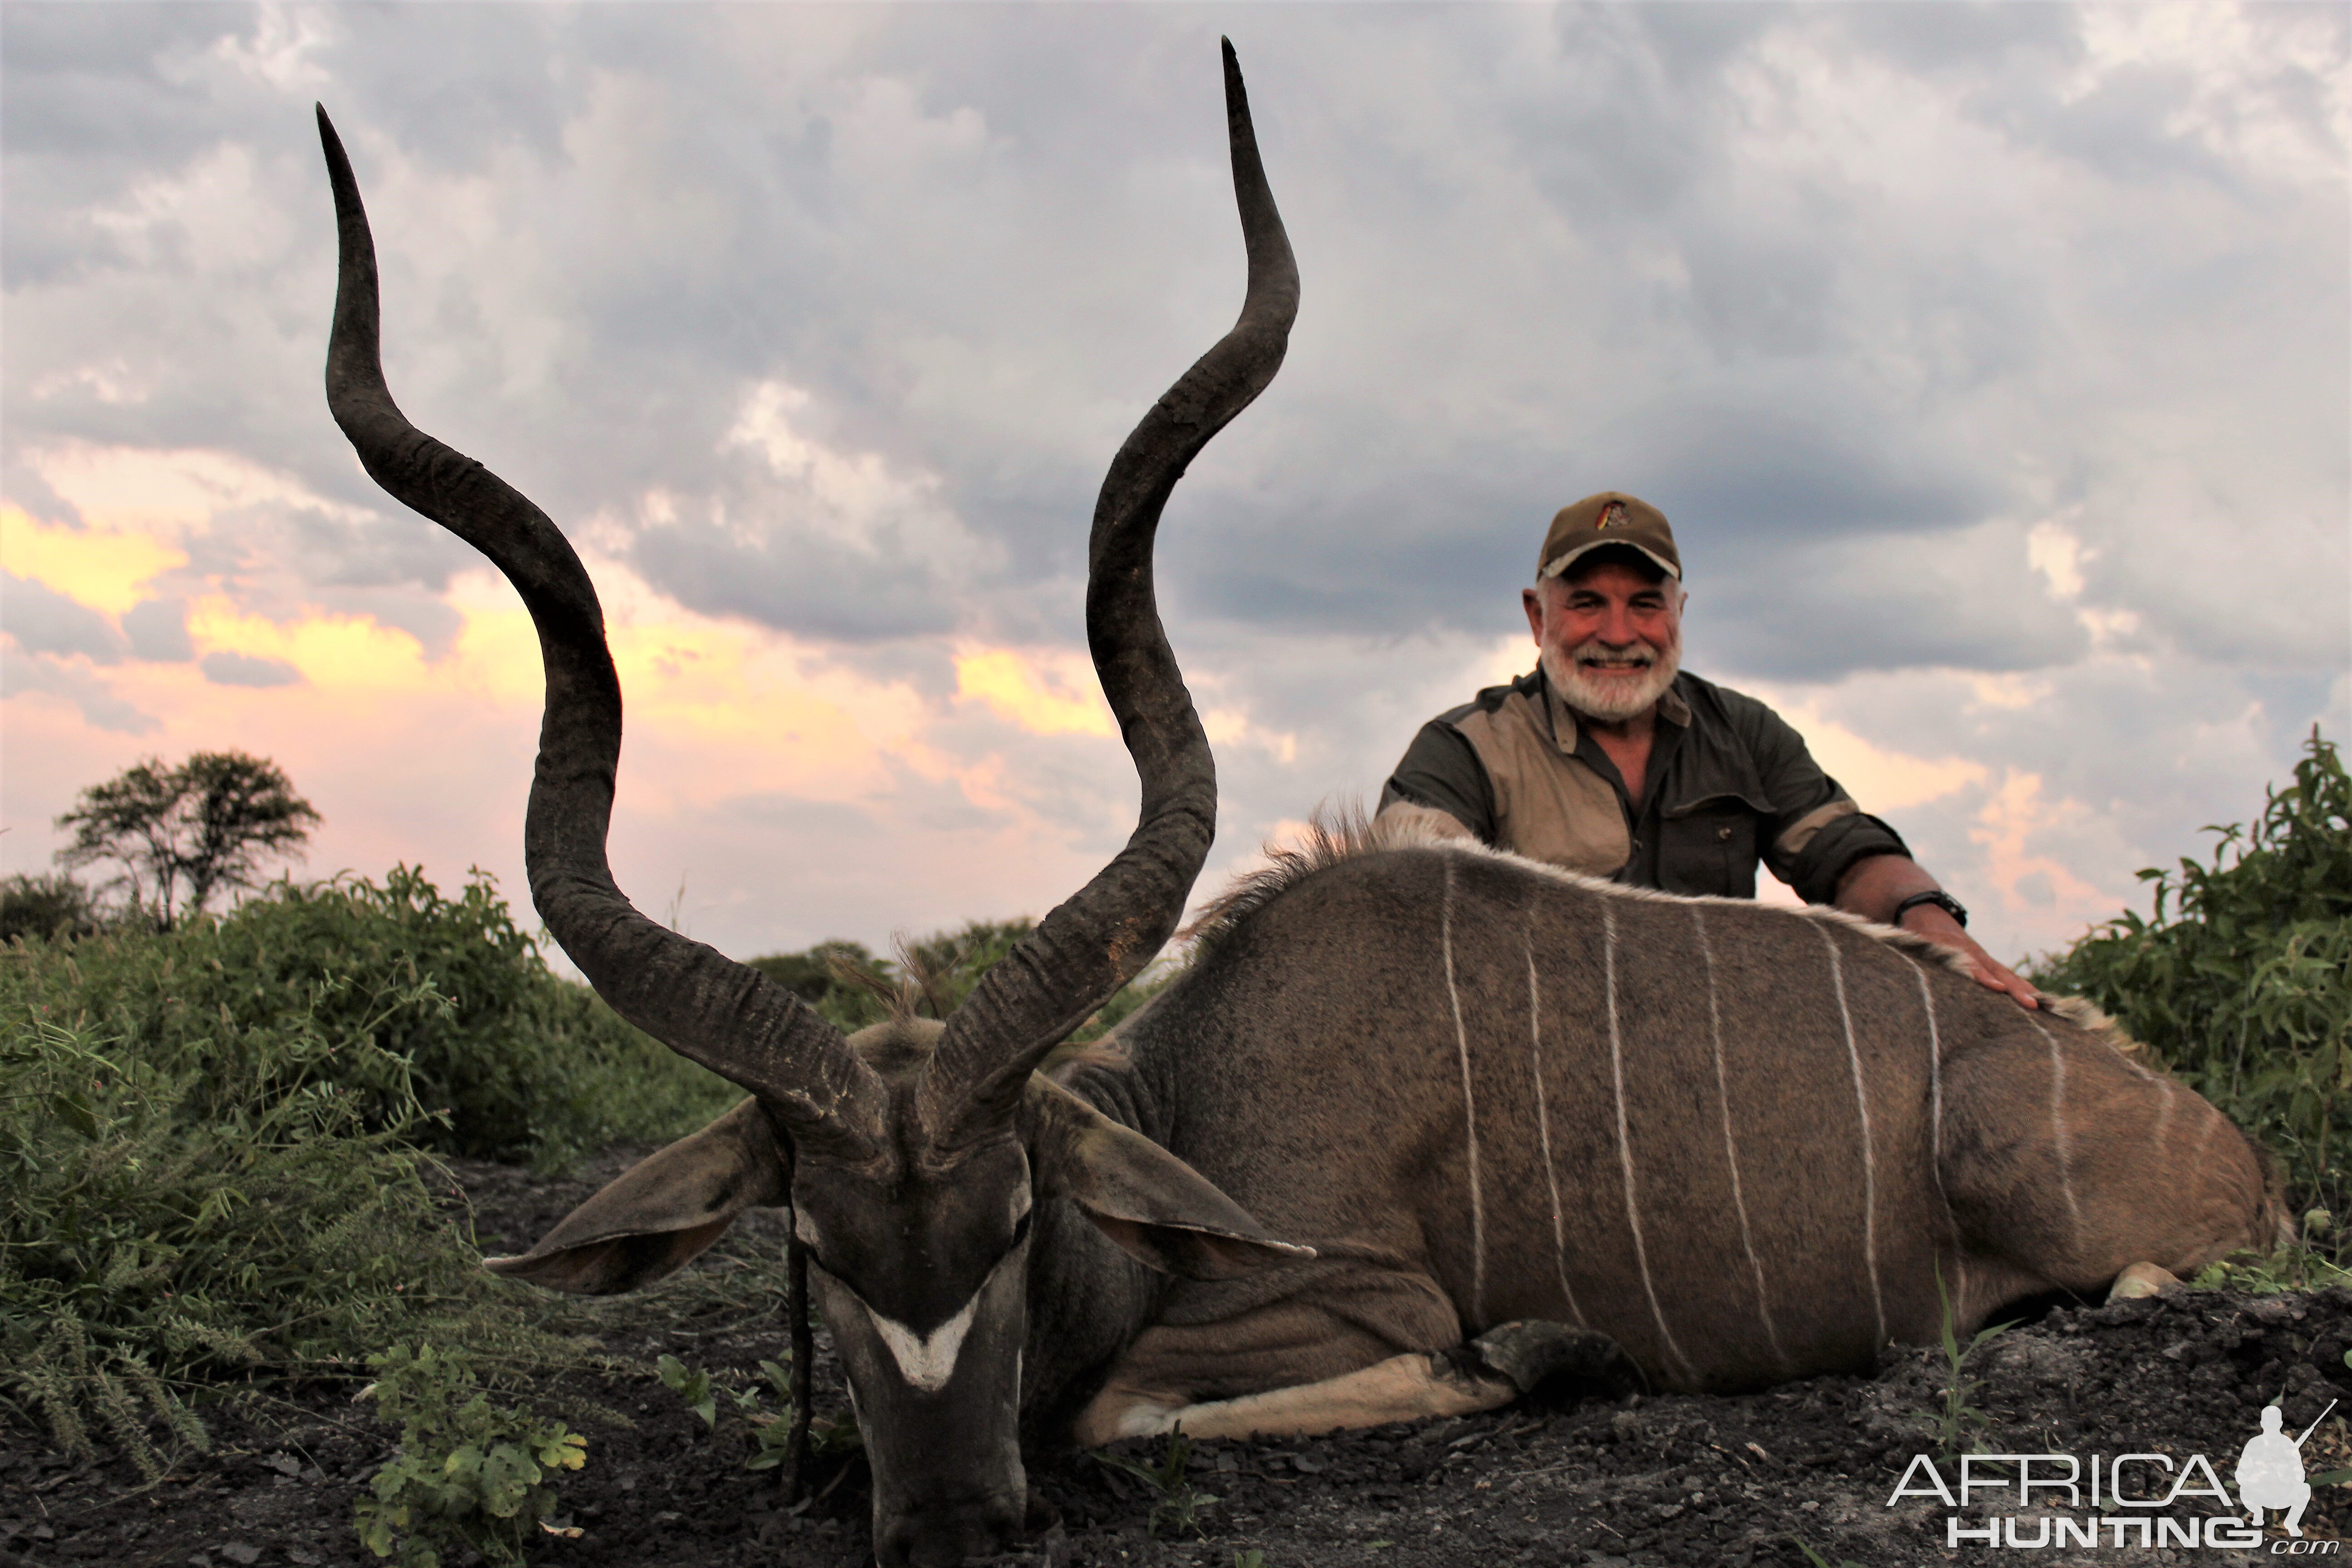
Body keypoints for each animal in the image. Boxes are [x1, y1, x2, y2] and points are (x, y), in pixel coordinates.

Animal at [313, 46, 2277, 1568]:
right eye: (812, 1240)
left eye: (1017, 1219)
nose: (952, 1523)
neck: (1191, 1096)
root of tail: (2205, 1127)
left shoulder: (1355, 1305)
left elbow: (1143, 1409)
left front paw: (1547, 1355)